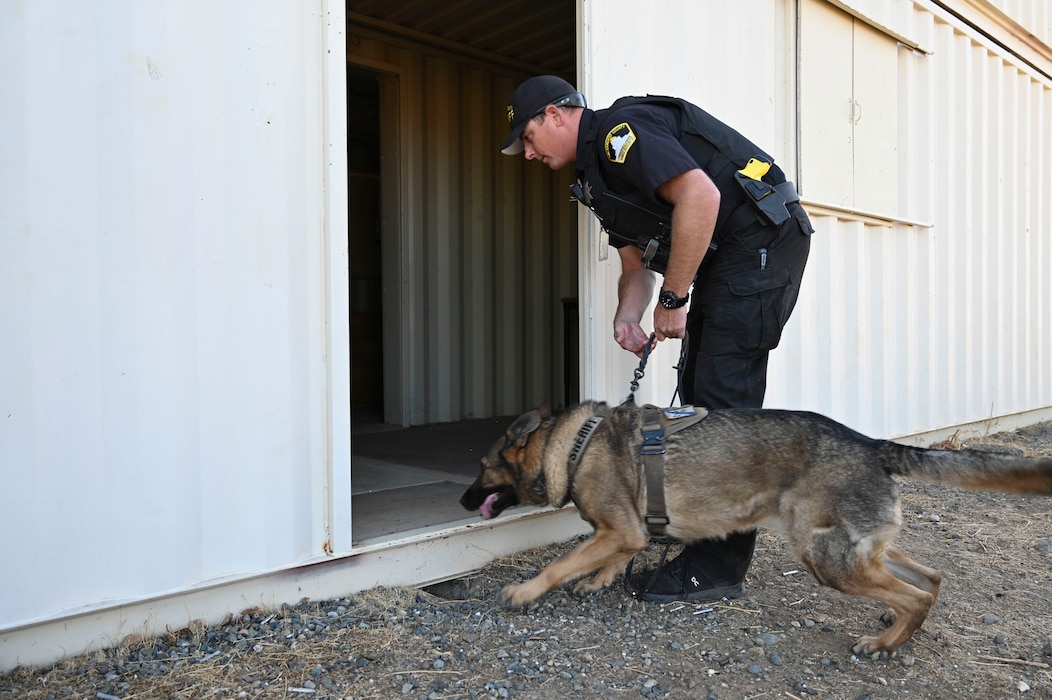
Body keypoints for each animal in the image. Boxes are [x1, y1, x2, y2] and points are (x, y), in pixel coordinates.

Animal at [462, 397, 1052, 656]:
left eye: (481, 467)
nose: (464, 501)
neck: (575, 445)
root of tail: (870, 444)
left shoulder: (619, 529)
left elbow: (562, 562)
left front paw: (525, 592)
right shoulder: (624, 530)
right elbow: (609, 556)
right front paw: (597, 581)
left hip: (824, 557)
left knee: (918, 594)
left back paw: (883, 642)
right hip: (858, 549)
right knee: (930, 578)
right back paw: (898, 627)